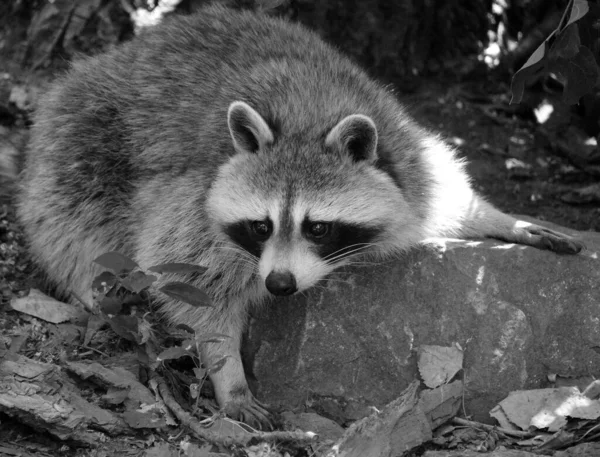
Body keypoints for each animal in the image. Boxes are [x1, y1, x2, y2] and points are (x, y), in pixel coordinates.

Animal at [17, 3, 580, 426]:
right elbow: (190, 279)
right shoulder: (189, 195)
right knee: (71, 212)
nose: (280, 284)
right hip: (83, 132)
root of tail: (126, 48)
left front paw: (499, 219)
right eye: (261, 226)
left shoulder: (406, 152)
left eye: (319, 227)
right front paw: (227, 369)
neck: (307, 123)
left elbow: (443, 191)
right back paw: (89, 285)